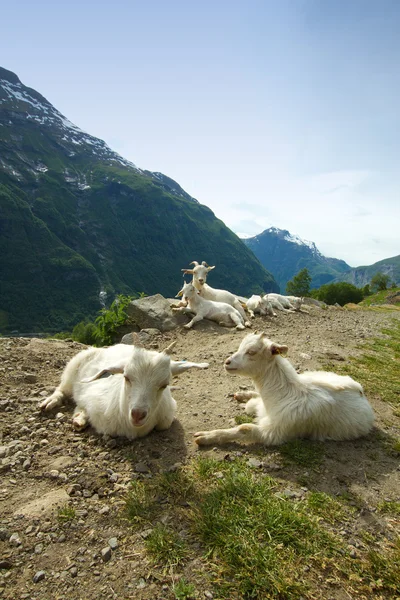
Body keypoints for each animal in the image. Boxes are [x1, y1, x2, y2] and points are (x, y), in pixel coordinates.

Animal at [39, 342, 209, 440]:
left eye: (164, 385)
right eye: (126, 377)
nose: (138, 414)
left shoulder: (166, 419)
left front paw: (79, 417)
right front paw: (80, 415)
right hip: (73, 366)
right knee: (62, 388)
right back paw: (50, 402)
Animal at [195, 332, 376, 446]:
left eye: (252, 352)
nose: (227, 362)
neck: (282, 395)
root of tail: (361, 392)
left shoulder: (276, 432)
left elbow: (244, 428)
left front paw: (206, 436)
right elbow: (252, 406)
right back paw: (242, 393)